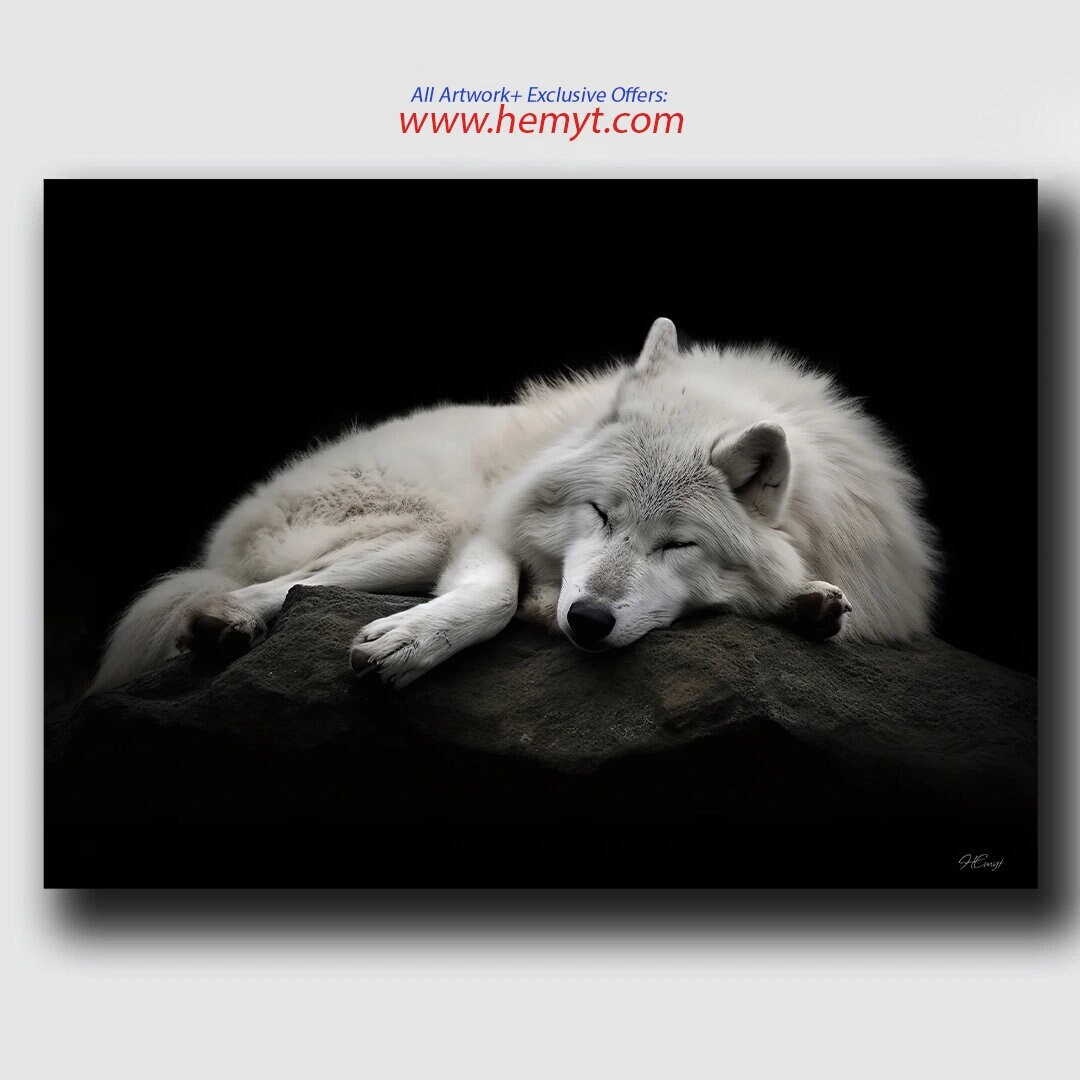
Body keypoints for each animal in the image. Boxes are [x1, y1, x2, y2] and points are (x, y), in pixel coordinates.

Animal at [89, 318, 939, 693]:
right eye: (599, 514)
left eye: (677, 545)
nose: (586, 620)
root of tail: (222, 538)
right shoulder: (488, 530)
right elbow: (492, 597)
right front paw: (409, 643)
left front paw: (810, 601)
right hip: (421, 531)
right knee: (272, 587)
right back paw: (224, 621)